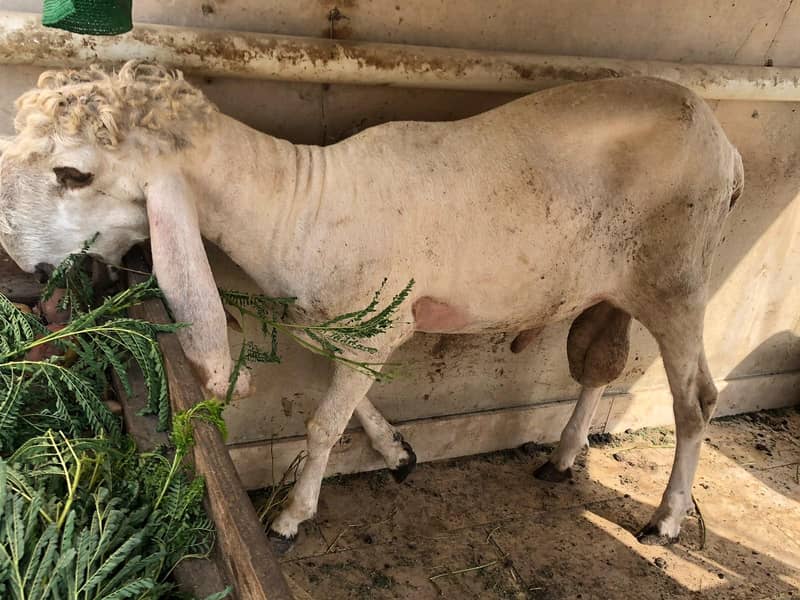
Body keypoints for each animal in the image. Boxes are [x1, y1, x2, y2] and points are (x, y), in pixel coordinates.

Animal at [0, 61, 743, 550]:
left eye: (74, 173)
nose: (16, 256)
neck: (298, 203)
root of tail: (726, 144)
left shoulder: (377, 331)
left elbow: (324, 423)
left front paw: (293, 513)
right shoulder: (334, 328)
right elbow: (347, 399)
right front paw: (396, 450)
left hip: (677, 281)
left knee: (696, 400)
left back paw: (666, 520)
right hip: (615, 282)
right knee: (598, 367)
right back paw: (562, 458)